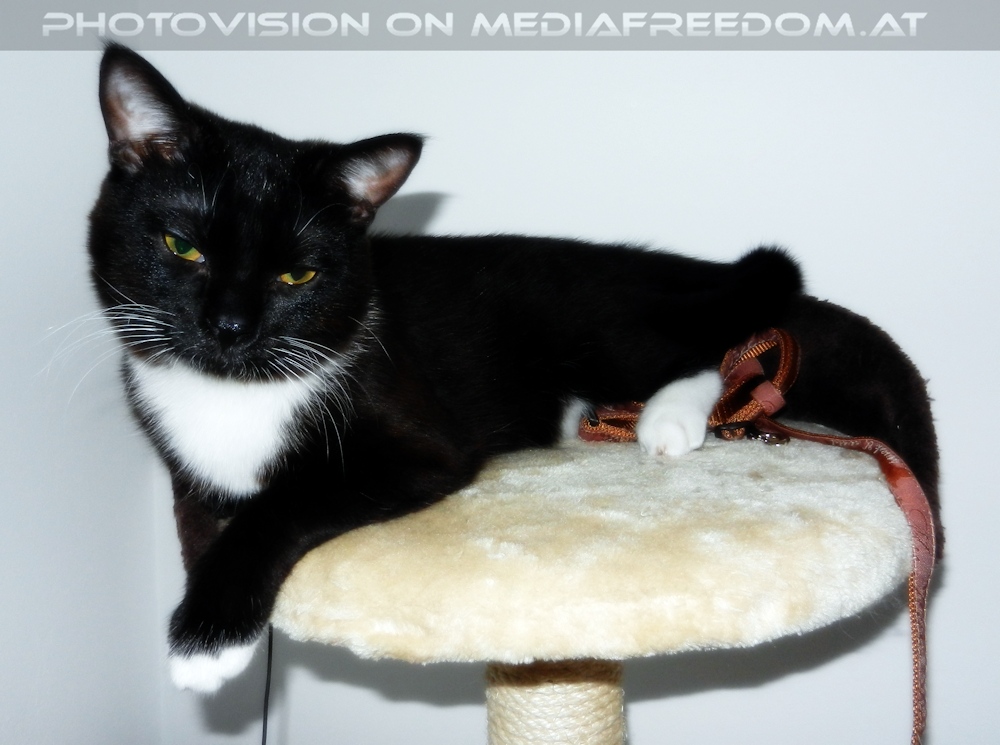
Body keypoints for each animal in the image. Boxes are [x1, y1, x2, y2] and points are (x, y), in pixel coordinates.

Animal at [88, 45, 939, 693]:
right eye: (181, 246)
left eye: (297, 276)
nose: (229, 326)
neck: (235, 390)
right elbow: (198, 507)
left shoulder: (415, 439)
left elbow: (284, 502)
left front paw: (205, 638)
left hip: (612, 324)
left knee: (711, 342)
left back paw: (668, 419)